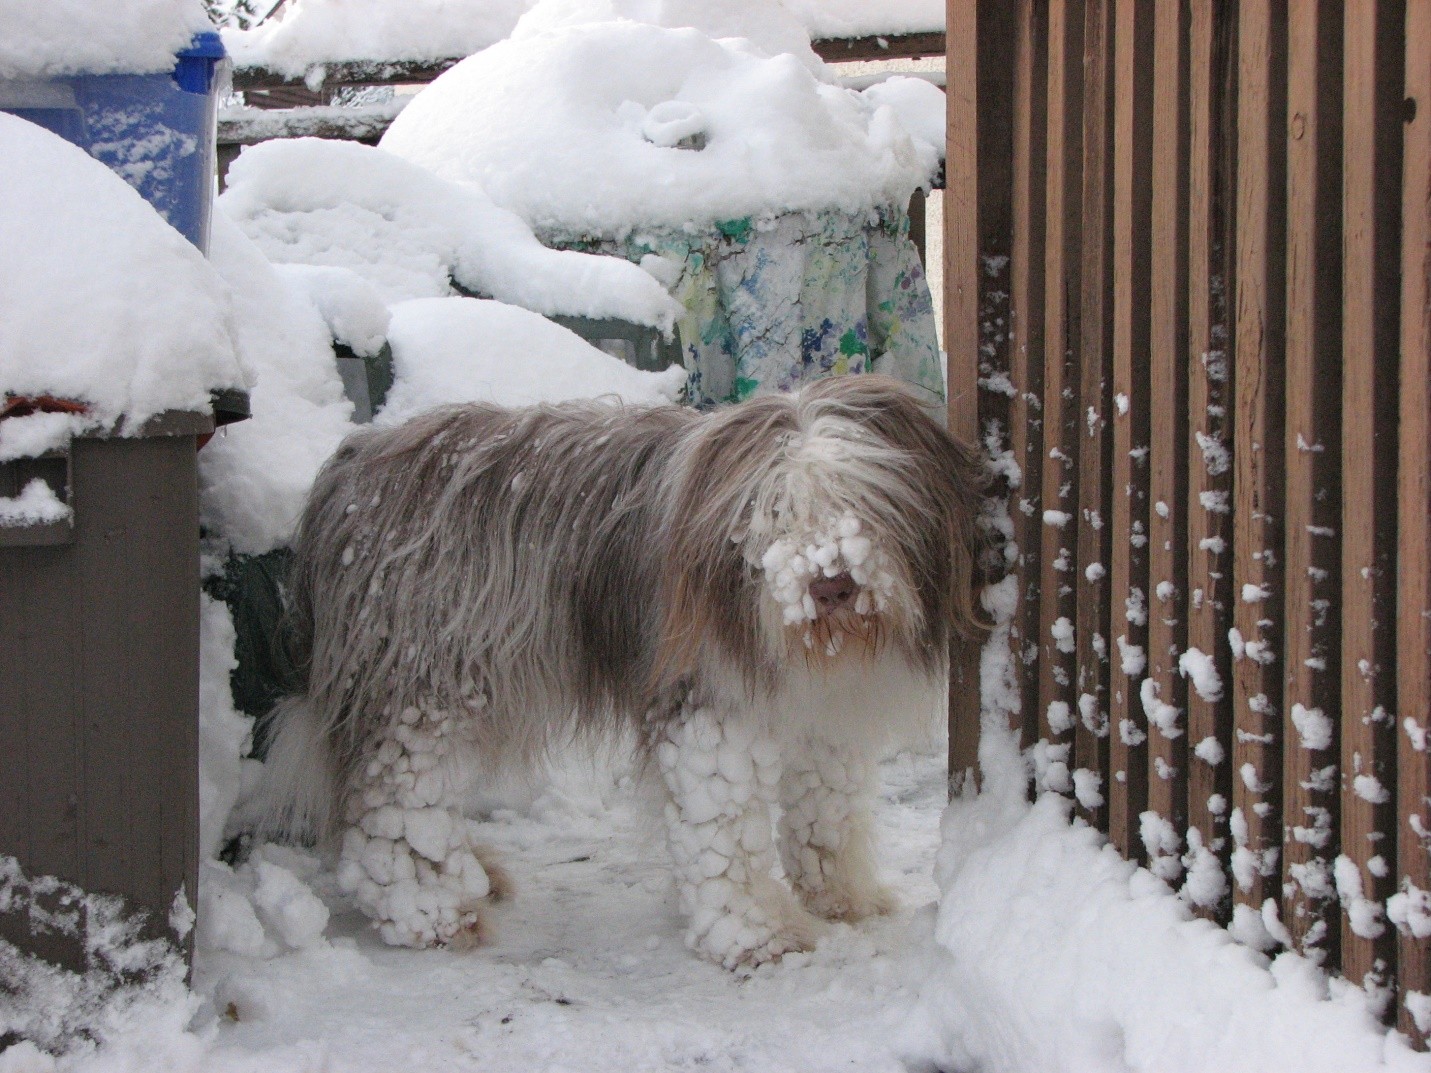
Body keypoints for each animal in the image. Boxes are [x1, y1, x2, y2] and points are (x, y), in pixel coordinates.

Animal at [260, 374, 984, 972]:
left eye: (867, 500)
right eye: (775, 511)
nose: (831, 583)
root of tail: (354, 463)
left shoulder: (824, 721)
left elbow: (824, 811)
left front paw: (842, 896)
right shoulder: (708, 713)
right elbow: (725, 838)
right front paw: (757, 935)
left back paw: (472, 873)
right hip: (423, 685)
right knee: (390, 804)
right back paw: (430, 914)